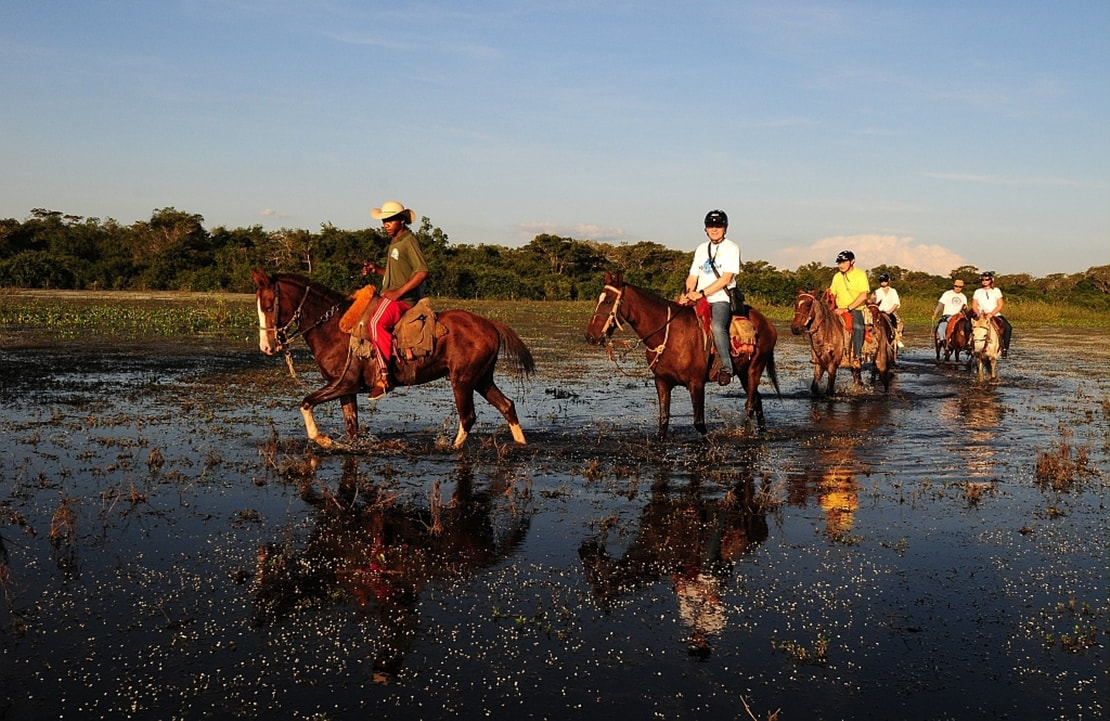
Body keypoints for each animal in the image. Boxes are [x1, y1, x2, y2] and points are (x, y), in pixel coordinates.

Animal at [250, 269, 532, 448]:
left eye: (268, 306)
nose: (266, 347)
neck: (332, 327)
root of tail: (490, 324)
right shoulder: (346, 390)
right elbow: (351, 426)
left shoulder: (343, 384)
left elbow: (306, 403)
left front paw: (323, 439)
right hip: (481, 378)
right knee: (507, 406)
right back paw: (521, 443)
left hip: (462, 380)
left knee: (468, 417)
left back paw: (452, 448)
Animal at [581, 269, 781, 437]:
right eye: (597, 301)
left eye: (608, 301)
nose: (590, 336)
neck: (669, 334)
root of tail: (767, 323)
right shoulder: (662, 382)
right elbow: (663, 422)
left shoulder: (696, 384)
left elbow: (699, 424)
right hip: (742, 372)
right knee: (757, 399)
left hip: (755, 368)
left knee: (750, 404)